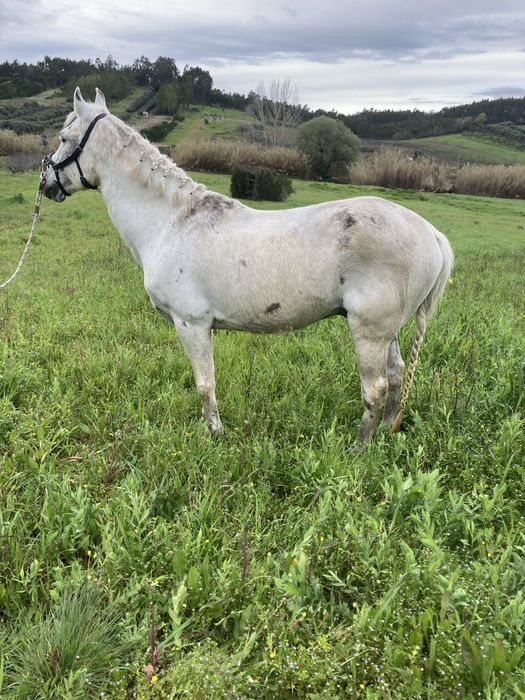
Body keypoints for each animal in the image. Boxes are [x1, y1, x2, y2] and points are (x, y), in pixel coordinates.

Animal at [42, 88, 453, 441]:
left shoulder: (191, 323)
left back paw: (360, 448)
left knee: (376, 388)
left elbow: (205, 384)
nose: (47, 183)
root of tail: (433, 235)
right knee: (396, 376)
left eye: (63, 138)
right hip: (389, 331)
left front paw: (214, 433)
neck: (172, 222)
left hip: (369, 331)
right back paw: (385, 431)